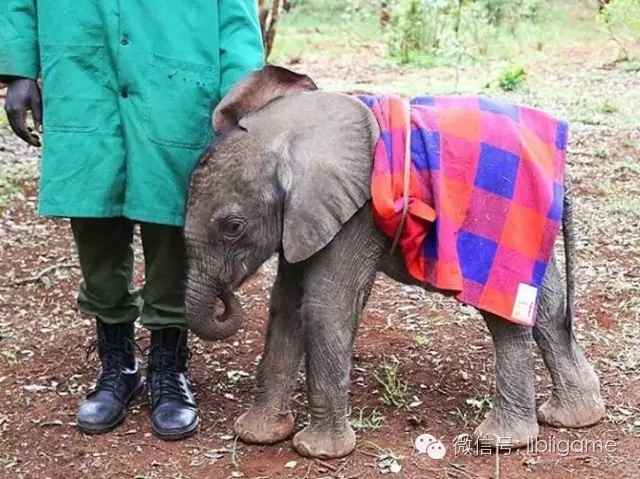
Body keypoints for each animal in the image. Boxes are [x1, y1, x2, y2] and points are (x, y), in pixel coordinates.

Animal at [184, 64, 604, 462]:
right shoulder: (304, 217)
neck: (291, 131)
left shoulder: (356, 212)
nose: (226, 295)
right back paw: (575, 418)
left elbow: (325, 305)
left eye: (233, 227)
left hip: (498, 222)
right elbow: (286, 304)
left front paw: (318, 452)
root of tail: (561, 166)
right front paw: (257, 435)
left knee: (504, 313)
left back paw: (501, 441)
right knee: (547, 305)